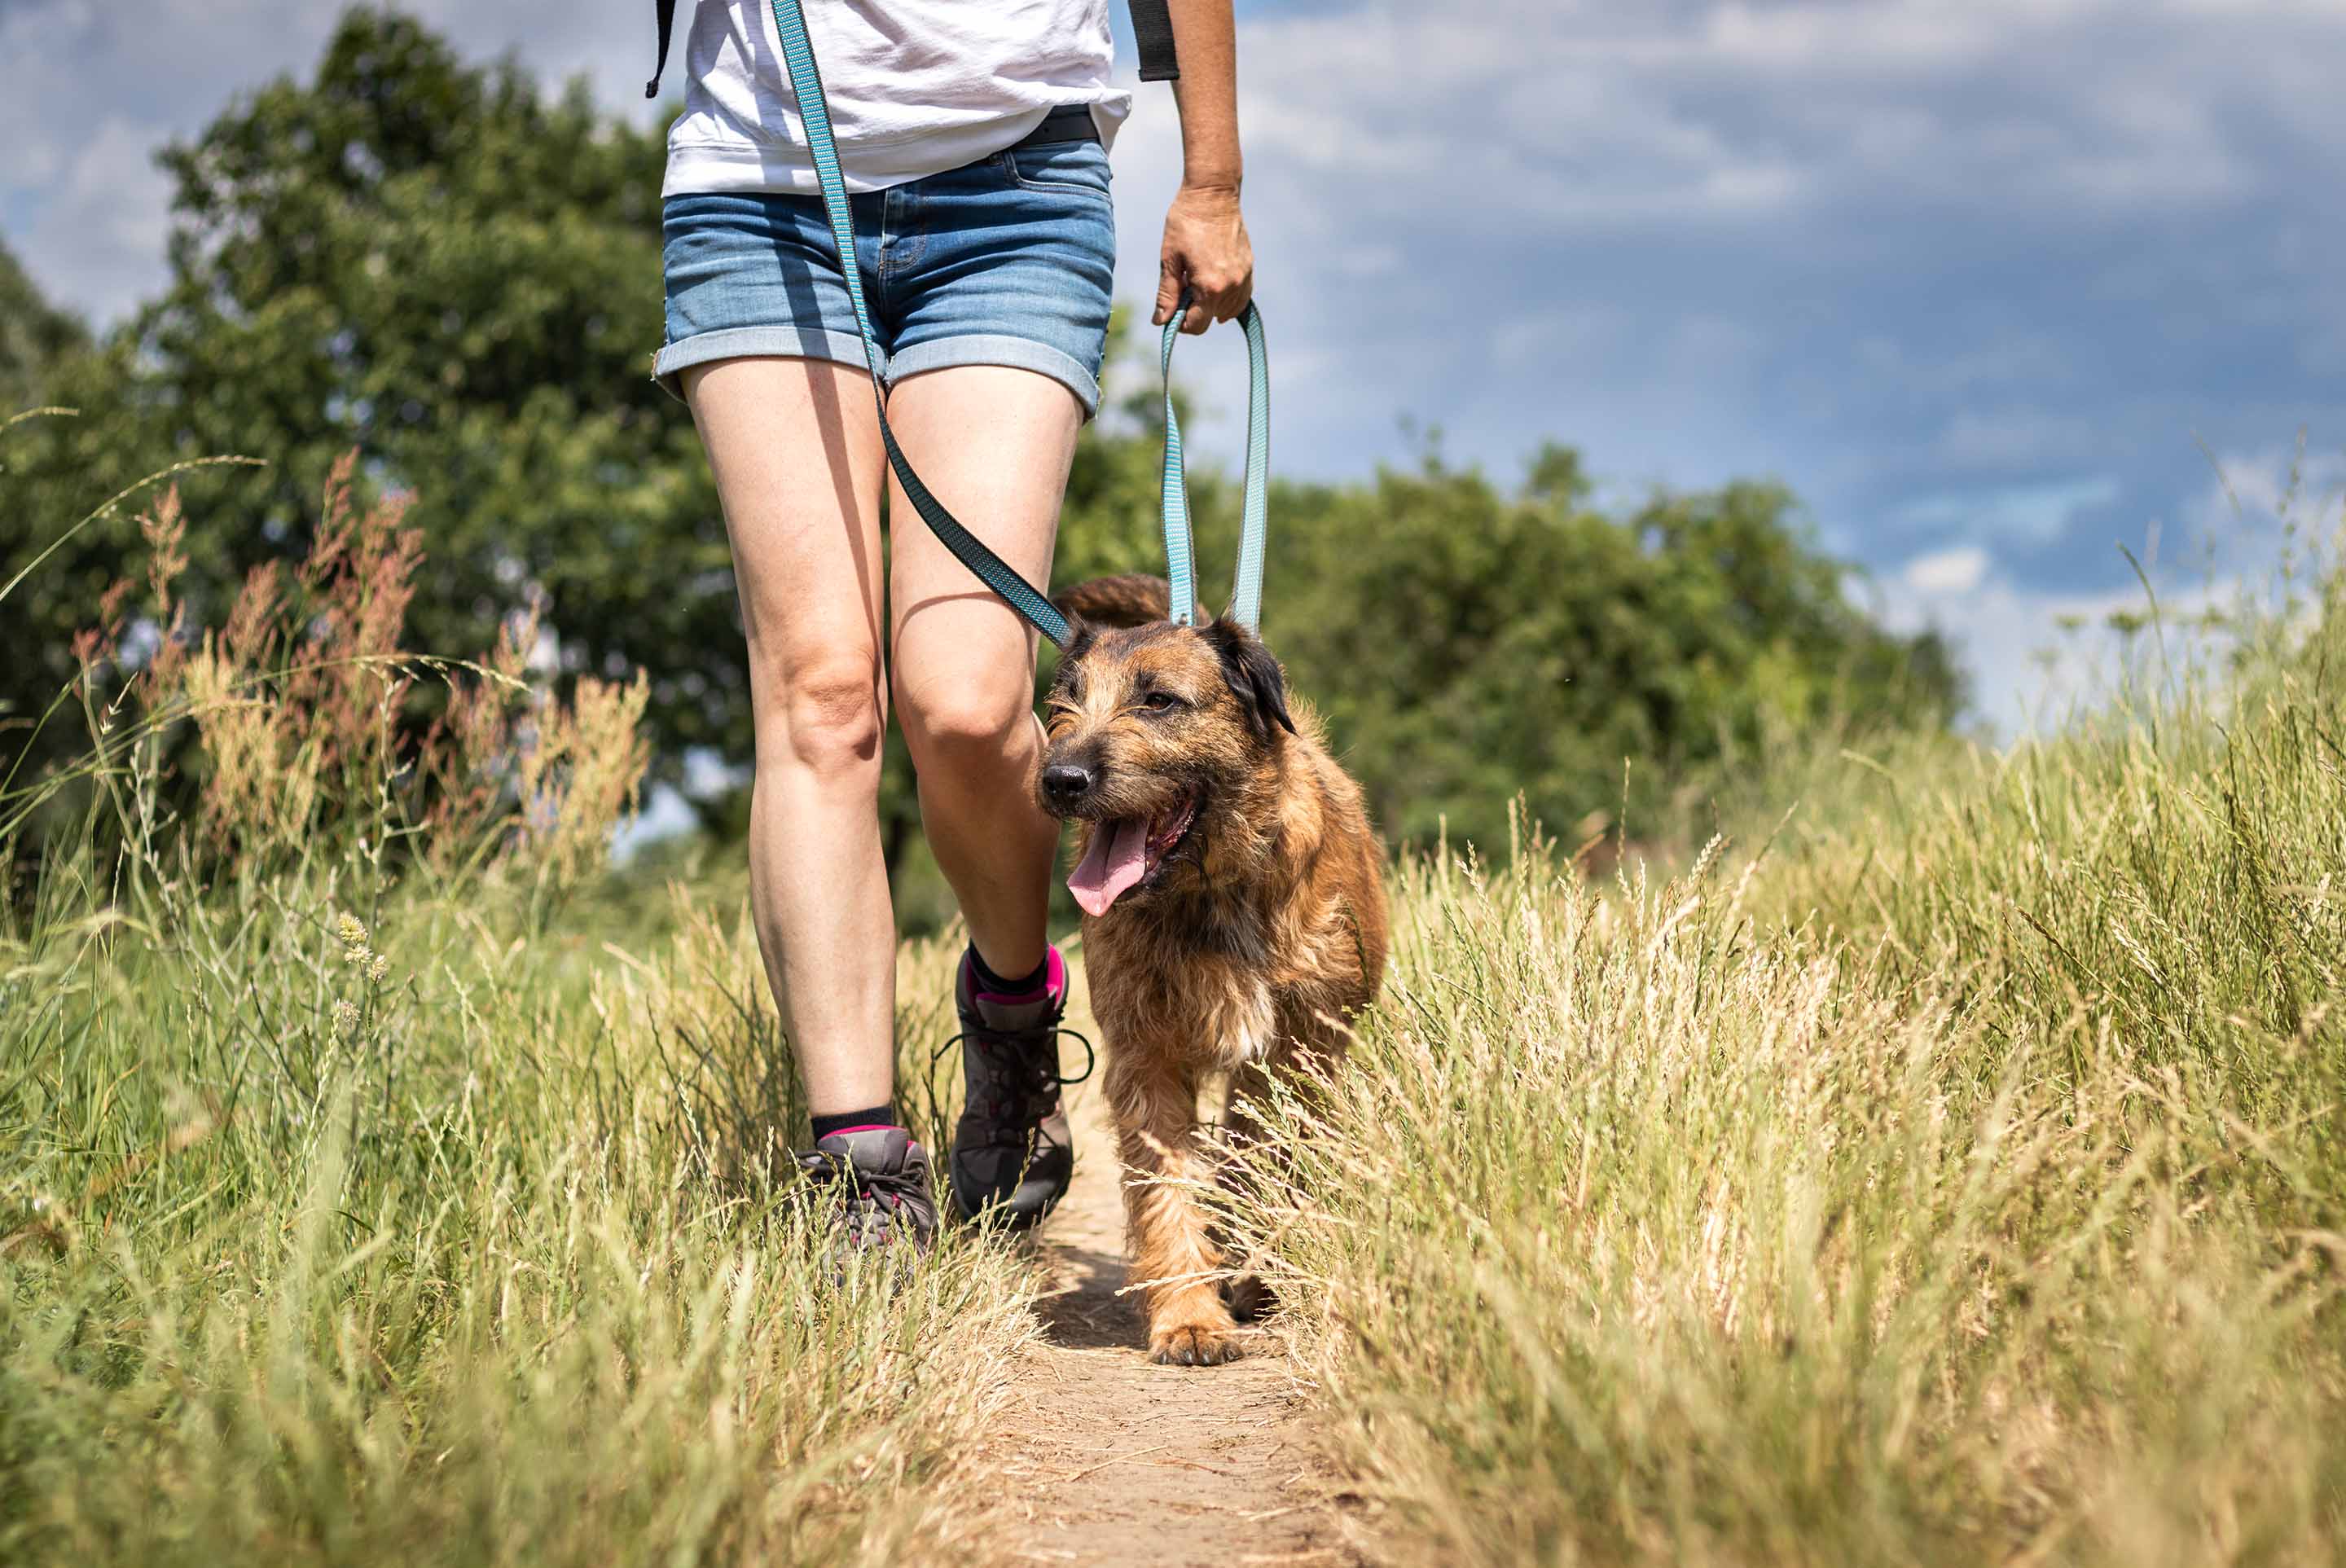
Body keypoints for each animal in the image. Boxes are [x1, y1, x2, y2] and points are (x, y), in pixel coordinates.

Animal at [1036, 573, 1379, 1361]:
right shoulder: (1148, 1057)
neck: (1212, 891)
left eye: (1159, 700)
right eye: (1066, 701)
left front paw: (1252, 1275)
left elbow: (1270, 1163)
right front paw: (1189, 1316)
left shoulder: (1298, 1050)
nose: (1062, 778)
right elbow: (1168, 1187)